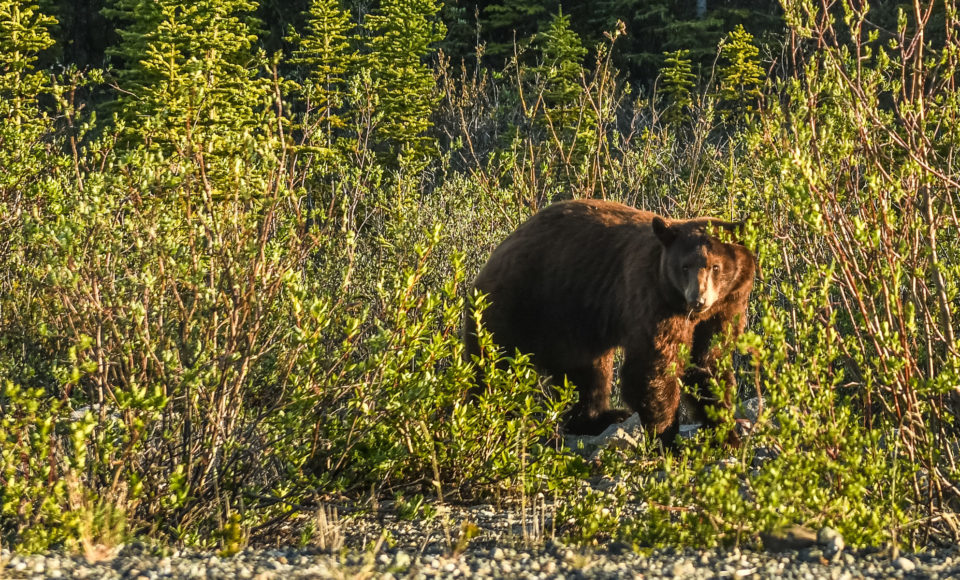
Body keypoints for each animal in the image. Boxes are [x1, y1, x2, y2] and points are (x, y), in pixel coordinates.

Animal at [464, 199, 756, 440]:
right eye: (685, 266)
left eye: (716, 266)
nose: (698, 300)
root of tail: (491, 260)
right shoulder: (652, 297)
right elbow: (653, 366)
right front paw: (666, 435)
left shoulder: (728, 303)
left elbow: (709, 360)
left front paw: (726, 431)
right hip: (514, 306)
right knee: (493, 365)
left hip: (572, 325)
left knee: (588, 372)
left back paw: (599, 417)